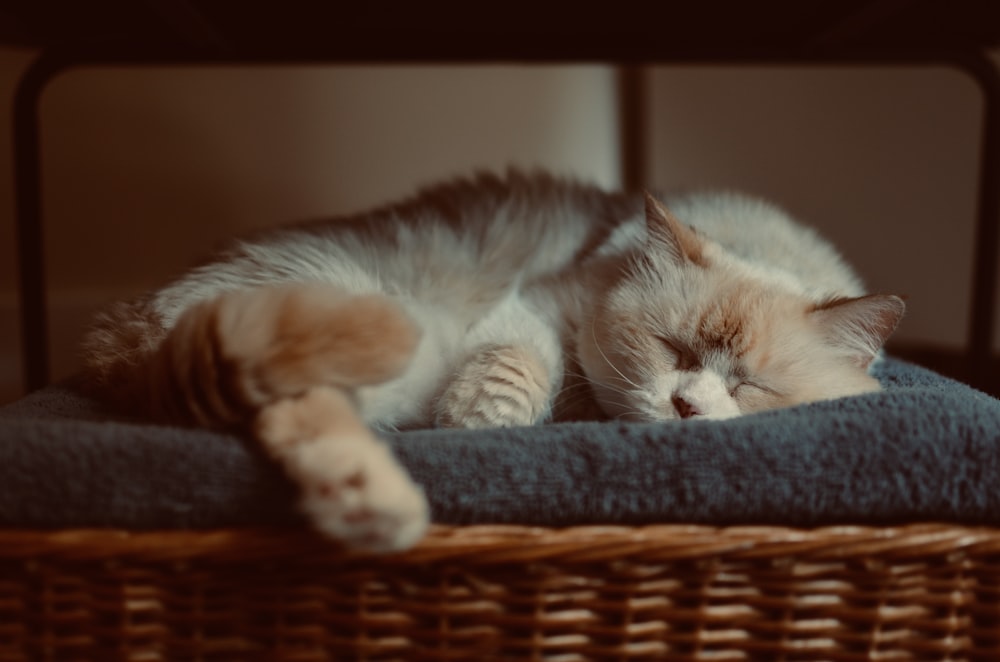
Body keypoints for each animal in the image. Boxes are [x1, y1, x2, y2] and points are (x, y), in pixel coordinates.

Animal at [80, 171, 908, 556]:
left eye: (749, 384)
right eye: (673, 348)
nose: (685, 408)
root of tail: (133, 323)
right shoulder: (535, 303)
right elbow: (516, 367)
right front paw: (480, 420)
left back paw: (360, 502)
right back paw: (387, 507)